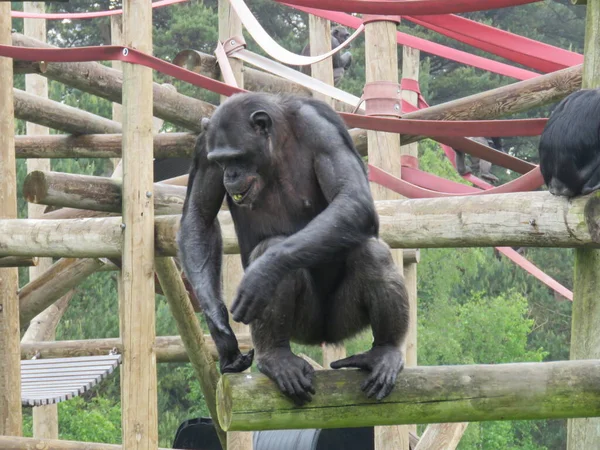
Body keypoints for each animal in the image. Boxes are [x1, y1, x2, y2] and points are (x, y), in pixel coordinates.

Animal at [178, 91, 410, 404]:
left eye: (237, 157)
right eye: (221, 162)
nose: (231, 174)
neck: (275, 146)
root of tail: (324, 337)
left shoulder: (323, 130)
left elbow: (353, 198)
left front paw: (261, 273)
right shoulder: (205, 147)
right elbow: (199, 217)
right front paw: (219, 326)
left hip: (343, 321)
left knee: (373, 253)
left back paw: (384, 351)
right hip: (305, 326)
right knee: (274, 254)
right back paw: (277, 358)